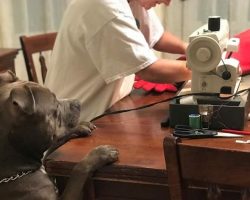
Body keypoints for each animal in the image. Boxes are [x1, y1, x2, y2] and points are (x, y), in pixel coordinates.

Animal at [0, 71, 118, 199]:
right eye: (55, 106)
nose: (78, 102)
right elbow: (77, 171)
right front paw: (101, 153)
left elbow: (55, 144)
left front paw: (81, 126)